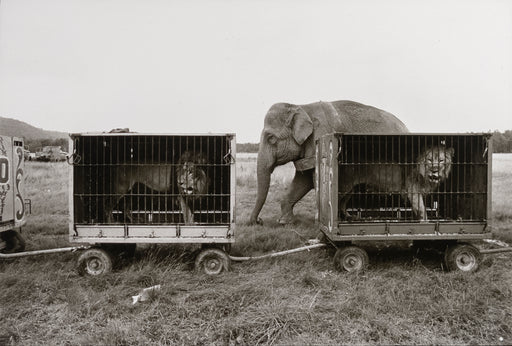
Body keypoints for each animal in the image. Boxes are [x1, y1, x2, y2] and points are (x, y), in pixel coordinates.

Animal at [248, 99, 408, 224]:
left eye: (271, 138)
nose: (258, 221)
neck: (301, 107)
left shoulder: (321, 136)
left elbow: (315, 179)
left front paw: (319, 221)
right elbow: (303, 179)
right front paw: (285, 222)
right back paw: (349, 217)